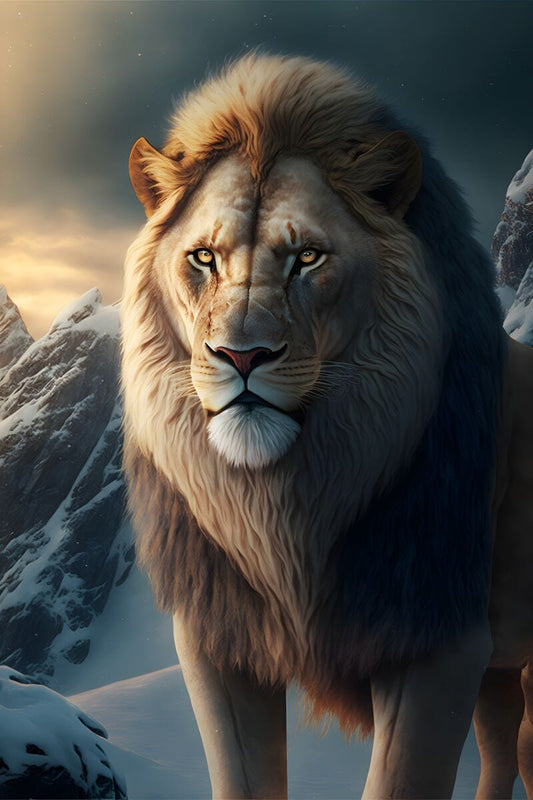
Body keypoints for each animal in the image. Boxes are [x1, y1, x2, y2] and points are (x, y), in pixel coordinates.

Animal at [121, 54, 533, 799]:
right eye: (203, 258)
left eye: (306, 257)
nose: (241, 355)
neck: (286, 511)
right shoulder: (217, 639)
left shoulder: (438, 640)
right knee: (501, 745)